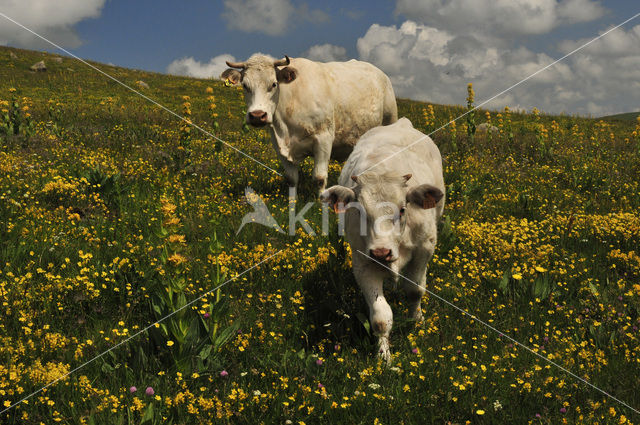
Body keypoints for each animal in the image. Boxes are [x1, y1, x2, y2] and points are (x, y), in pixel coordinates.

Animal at [222, 54, 398, 192]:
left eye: (273, 84)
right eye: (245, 85)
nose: (257, 116)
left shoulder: (324, 138)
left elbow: (319, 178)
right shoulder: (278, 144)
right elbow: (291, 179)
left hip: (390, 121)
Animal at [320, 118, 444, 362]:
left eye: (403, 209)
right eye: (359, 210)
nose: (381, 252)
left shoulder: (424, 249)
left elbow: (415, 290)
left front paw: (417, 321)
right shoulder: (363, 262)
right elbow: (380, 317)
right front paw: (384, 355)